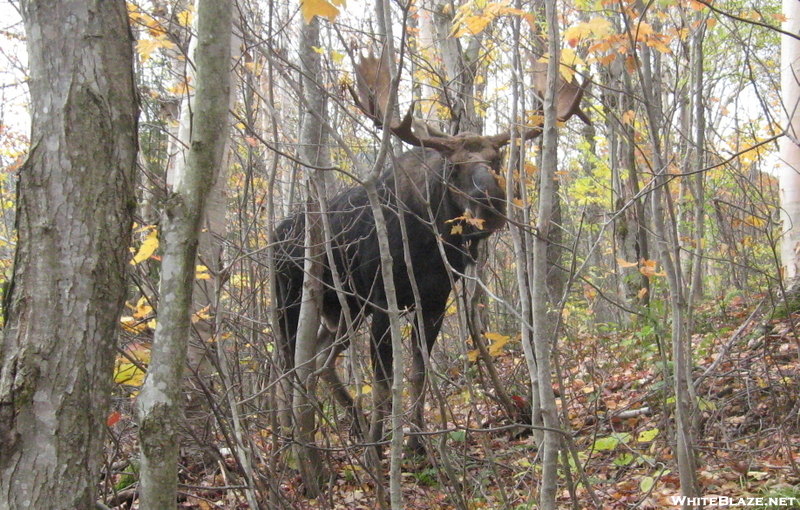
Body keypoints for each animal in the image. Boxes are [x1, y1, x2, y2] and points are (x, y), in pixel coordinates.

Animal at [276, 47, 588, 454]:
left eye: (497, 160)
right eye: (453, 168)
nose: (490, 204)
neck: (430, 241)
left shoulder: (435, 301)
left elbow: (418, 372)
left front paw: (417, 442)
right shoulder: (384, 301)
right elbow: (383, 382)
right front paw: (380, 447)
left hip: (344, 311)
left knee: (319, 359)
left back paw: (349, 422)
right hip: (290, 306)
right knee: (293, 368)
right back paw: (298, 438)